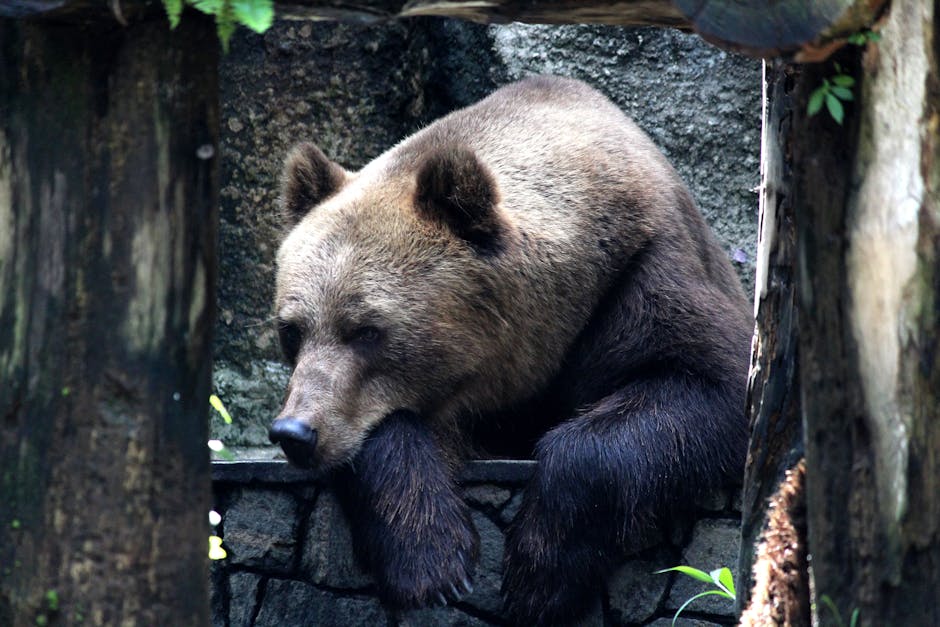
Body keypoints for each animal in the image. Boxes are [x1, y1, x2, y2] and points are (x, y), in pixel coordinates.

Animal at [268, 75, 752, 626]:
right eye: (292, 330)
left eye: (367, 330)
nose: (294, 432)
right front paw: (433, 559)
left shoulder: (644, 271)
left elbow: (705, 383)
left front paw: (538, 574)